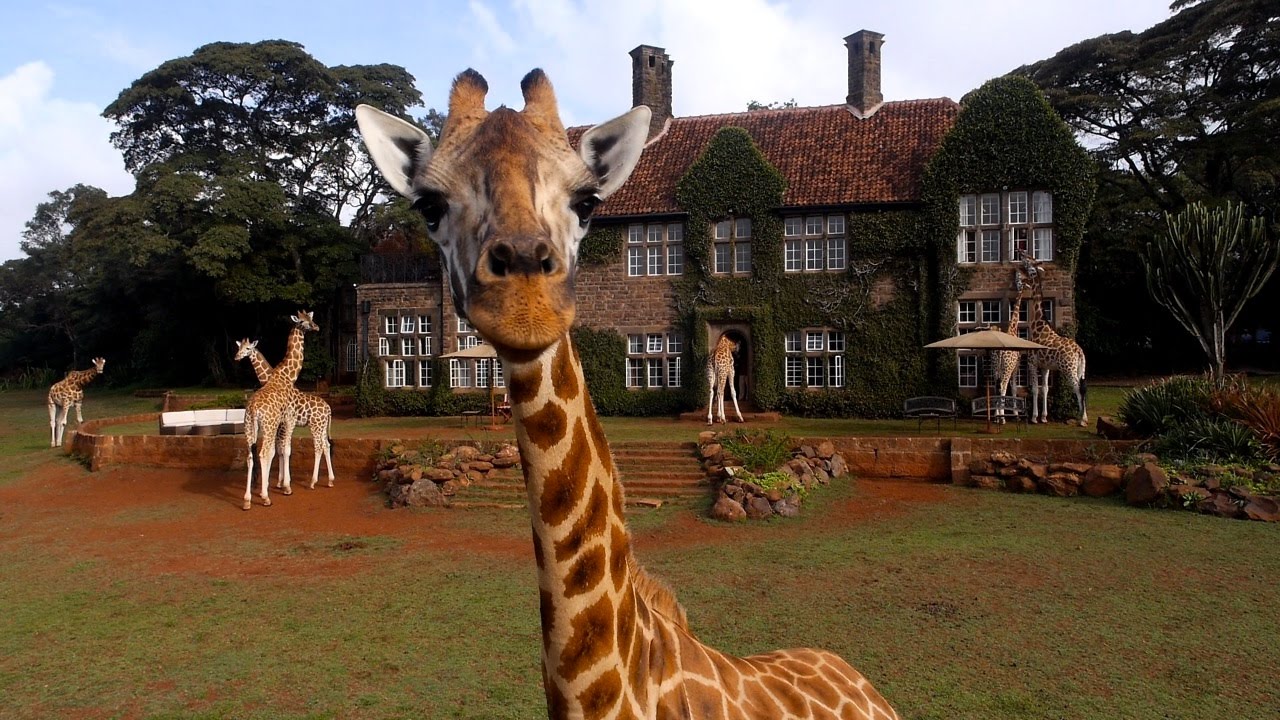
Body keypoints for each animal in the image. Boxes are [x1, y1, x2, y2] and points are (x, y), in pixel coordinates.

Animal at [234, 338, 335, 491]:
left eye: (247, 348)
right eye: (239, 348)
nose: (237, 357)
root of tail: (328, 408)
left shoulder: (281, 425)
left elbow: (280, 450)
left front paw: (281, 482)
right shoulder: (279, 425)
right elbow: (279, 450)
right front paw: (280, 482)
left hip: (315, 426)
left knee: (318, 447)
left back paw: (312, 482)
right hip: (322, 426)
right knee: (326, 445)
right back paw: (330, 480)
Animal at [242, 311, 319, 510]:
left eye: (311, 318)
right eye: (302, 321)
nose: (316, 327)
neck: (285, 375)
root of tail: (253, 408)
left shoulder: (281, 423)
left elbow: (279, 451)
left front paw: (276, 484)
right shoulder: (288, 420)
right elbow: (284, 450)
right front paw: (285, 486)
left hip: (249, 427)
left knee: (250, 455)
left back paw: (247, 500)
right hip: (268, 426)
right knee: (262, 453)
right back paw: (265, 498)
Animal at [1016, 253, 1088, 426]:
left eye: (1029, 260)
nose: (1020, 251)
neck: (1038, 325)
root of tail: (1079, 351)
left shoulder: (1032, 362)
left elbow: (1035, 389)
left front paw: (1034, 417)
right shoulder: (1045, 366)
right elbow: (1045, 389)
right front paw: (1043, 417)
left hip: (1068, 368)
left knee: (1078, 388)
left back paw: (1082, 419)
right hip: (1081, 368)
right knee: (1084, 386)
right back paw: (1085, 417)